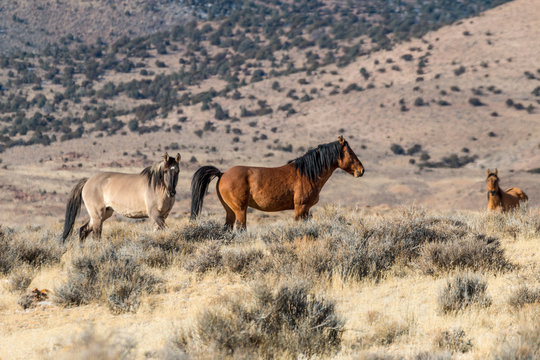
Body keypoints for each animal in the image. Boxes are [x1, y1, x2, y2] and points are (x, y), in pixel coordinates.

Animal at [192, 136, 364, 229]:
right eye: (350, 152)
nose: (361, 170)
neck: (307, 173)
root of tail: (222, 174)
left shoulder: (306, 209)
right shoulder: (300, 207)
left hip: (230, 210)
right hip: (240, 210)